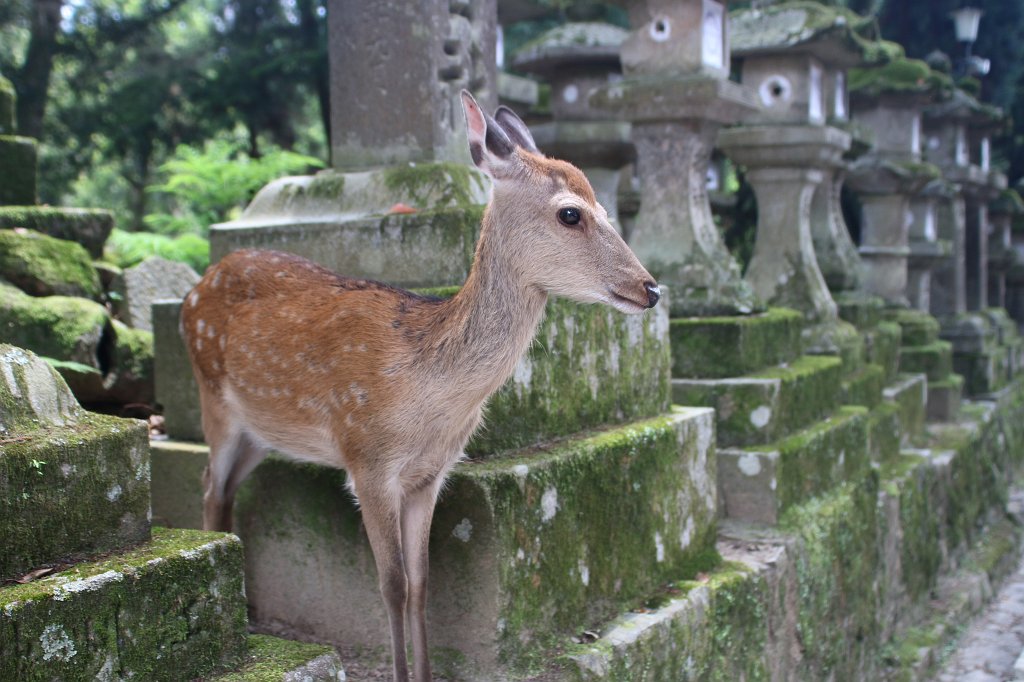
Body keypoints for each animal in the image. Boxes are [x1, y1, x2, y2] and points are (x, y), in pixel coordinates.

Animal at [183, 91, 659, 679]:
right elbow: (392, 585)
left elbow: (423, 584)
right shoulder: (366, 460)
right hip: (213, 401)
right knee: (209, 484)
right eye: (571, 213)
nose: (651, 288)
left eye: (607, 210)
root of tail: (197, 286)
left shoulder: (431, 474)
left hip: (262, 432)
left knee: (226, 489)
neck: (426, 394)